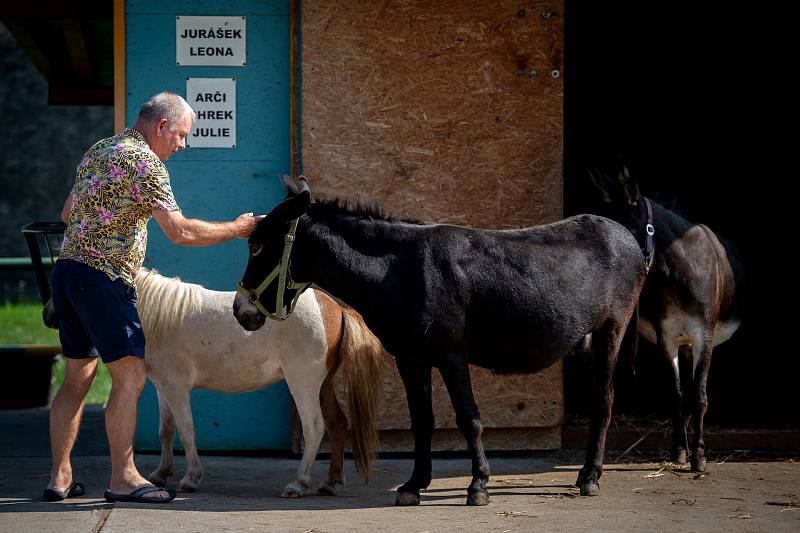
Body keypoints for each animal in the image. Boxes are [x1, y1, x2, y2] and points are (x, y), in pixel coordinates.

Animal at [135, 268, 384, 496]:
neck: (161, 317)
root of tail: (336, 308)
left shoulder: (176, 387)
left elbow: (186, 430)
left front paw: (191, 478)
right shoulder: (163, 387)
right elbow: (166, 431)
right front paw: (161, 474)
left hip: (303, 383)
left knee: (314, 427)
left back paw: (298, 483)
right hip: (325, 385)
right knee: (337, 424)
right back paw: (331, 482)